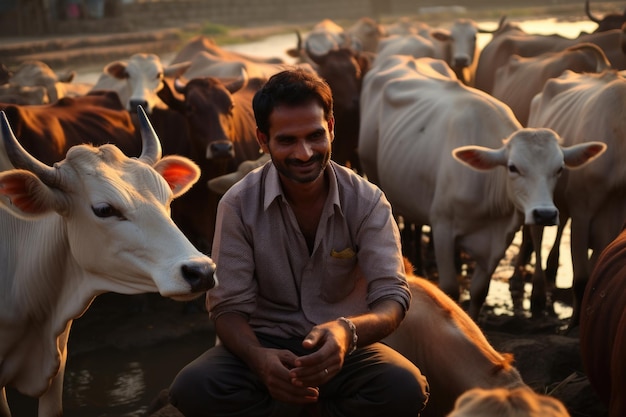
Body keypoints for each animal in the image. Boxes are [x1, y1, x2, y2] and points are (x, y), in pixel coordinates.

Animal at [358, 56, 608, 318]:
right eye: (512, 167)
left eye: (559, 168)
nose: (545, 214)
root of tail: (407, 58)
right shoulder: (442, 227)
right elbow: (450, 289)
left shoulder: (499, 241)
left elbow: (479, 291)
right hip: (374, 173)